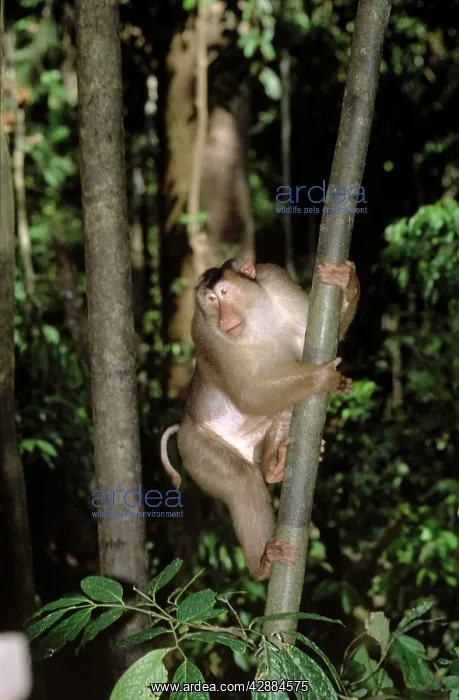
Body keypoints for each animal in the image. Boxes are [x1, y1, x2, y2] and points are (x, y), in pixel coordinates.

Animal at [161, 258, 360, 580]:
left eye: (224, 292)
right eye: (211, 300)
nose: (224, 318)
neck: (253, 317)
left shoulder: (276, 280)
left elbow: (311, 335)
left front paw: (346, 282)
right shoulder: (205, 333)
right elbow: (248, 393)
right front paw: (323, 377)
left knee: (285, 408)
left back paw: (273, 463)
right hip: (196, 451)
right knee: (242, 479)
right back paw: (262, 564)